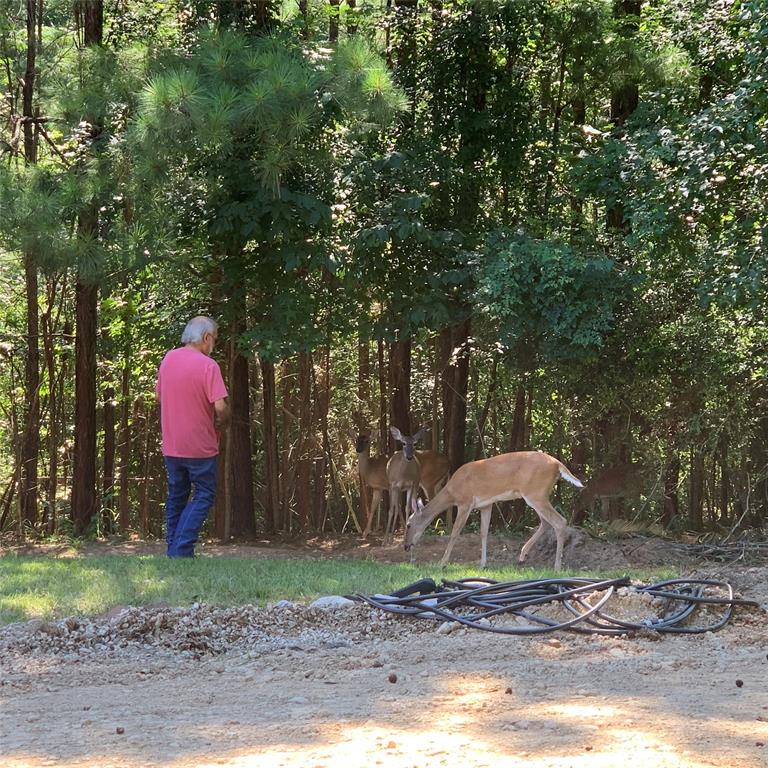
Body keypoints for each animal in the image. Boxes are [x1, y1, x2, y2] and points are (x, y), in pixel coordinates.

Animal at [404, 450, 584, 568]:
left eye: (408, 524)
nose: (406, 546)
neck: (452, 492)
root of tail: (557, 464)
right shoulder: (486, 504)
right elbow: (484, 532)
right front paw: (483, 563)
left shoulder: (465, 502)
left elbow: (455, 532)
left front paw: (442, 563)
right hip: (538, 494)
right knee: (546, 522)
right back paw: (522, 555)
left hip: (535, 493)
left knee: (559, 521)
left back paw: (557, 566)